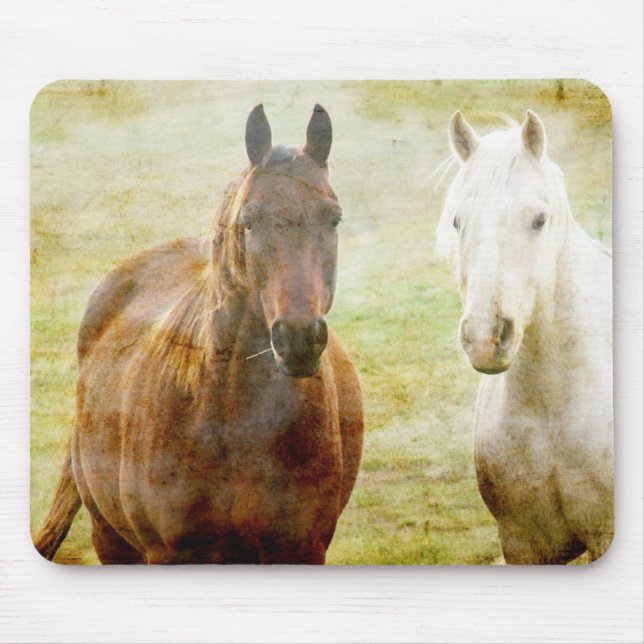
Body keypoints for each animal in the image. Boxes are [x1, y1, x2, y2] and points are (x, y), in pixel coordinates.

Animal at [34, 104, 364, 564]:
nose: (299, 339)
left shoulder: (301, 548)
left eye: (333, 218)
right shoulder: (171, 552)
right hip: (110, 539)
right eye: (249, 222)